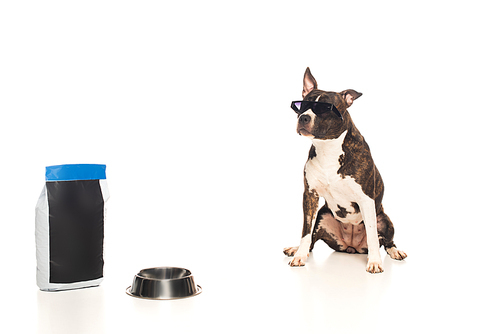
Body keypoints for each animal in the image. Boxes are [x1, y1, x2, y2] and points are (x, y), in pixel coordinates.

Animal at [286, 68, 406, 274]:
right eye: (303, 106)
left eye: (326, 108)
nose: (303, 117)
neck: (328, 148)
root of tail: (352, 246)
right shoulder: (310, 195)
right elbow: (306, 231)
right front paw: (300, 255)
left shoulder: (366, 199)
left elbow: (372, 235)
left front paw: (375, 262)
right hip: (323, 215)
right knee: (312, 240)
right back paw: (297, 249)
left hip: (385, 219)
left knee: (387, 240)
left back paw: (395, 251)